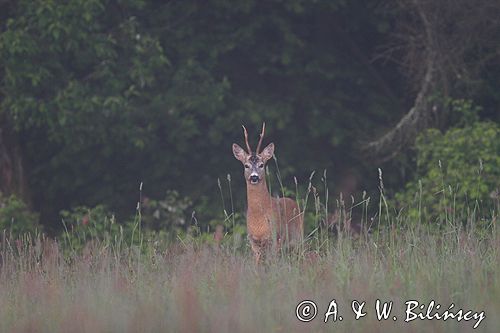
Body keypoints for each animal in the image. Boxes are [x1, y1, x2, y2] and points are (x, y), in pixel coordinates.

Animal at [232, 122, 302, 262]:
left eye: (261, 164)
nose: (254, 177)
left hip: (298, 237)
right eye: (246, 165)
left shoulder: (276, 237)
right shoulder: (253, 241)